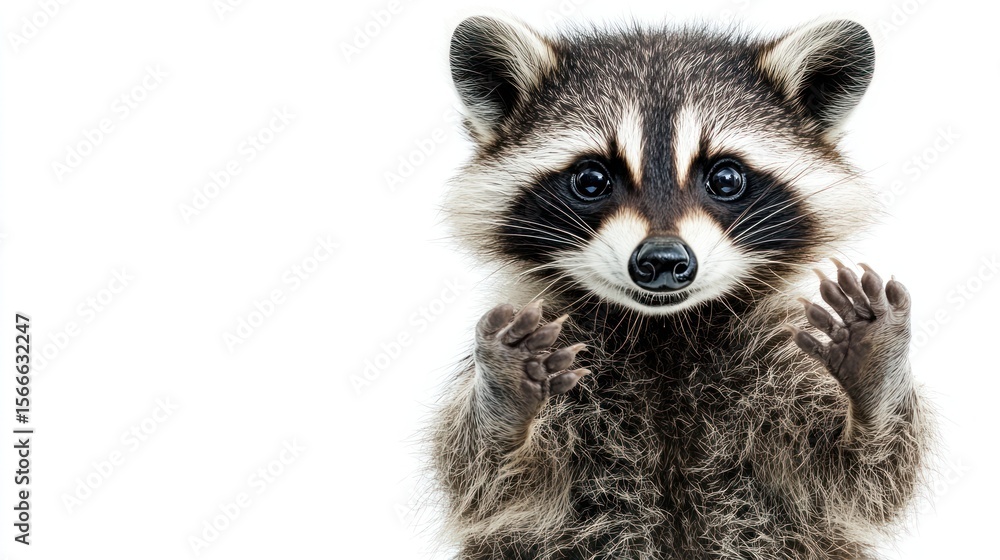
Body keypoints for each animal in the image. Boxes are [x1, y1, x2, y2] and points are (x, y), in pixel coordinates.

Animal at [430, 15, 932, 560]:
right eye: (590, 179)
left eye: (726, 178)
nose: (663, 261)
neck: (664, 330)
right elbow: (482, 480)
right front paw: (504, 397)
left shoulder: (777, 361)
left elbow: (863, 478)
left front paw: (872, 374)